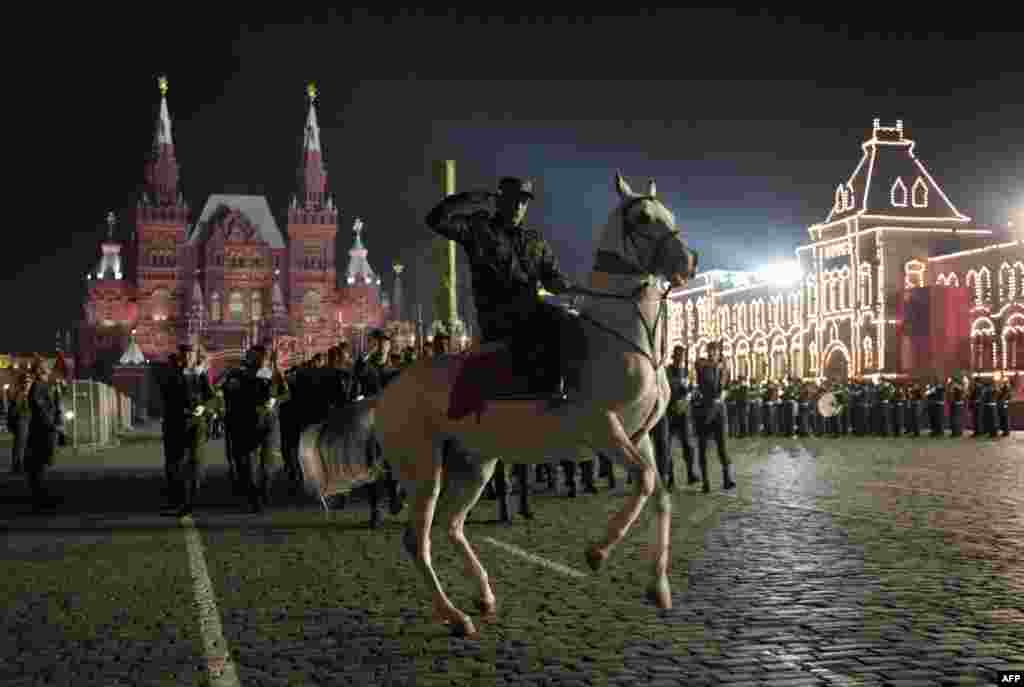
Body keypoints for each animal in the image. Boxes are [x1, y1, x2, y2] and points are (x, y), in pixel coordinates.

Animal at [296, 172, 696, 638]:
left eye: (669, 214)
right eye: (644, 217)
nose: (690, 263)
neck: (623, 340)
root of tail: (385, 393)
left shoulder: (640, 435)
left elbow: (660, 494)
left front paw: (658, 587)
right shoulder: (604, 430)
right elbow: (646, 481)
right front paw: (598, 552)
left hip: (476, 465)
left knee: (451, 525)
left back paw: (484, 596)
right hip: (424, 470)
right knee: (418, 540)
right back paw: (456, 616)